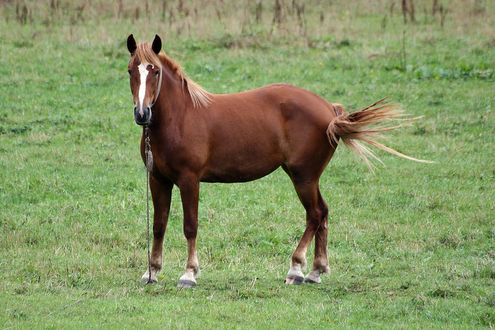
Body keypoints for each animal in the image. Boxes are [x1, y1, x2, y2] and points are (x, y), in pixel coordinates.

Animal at [124, 33, 426, 286]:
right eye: (130, 70)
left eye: (155, 71)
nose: (142, 114)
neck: (180, 117)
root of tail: (330, 109)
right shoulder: (158, 179)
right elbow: (159, 225)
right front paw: (152, 271)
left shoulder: (189, 180)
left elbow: (190, 225)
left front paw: (189, 274)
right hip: (305, 176)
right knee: (323, 213)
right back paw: (316, 271)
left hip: (303, 177)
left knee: (315, 215)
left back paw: (296, 268)